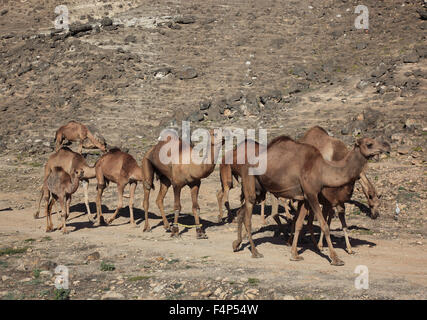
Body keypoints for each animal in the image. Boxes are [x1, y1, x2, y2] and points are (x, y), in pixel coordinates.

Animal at [234, 135, 392, 264]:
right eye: (369, 144)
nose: (387, 146)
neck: (322, 170)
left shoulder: (304, 198)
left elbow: (298, 224)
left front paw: (295, 254)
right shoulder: (312, 194)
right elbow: (324, 225)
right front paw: (335, 258)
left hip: (260, 189)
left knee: (241, 211)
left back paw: (236, 244)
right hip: (250, 180)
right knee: (248, 217)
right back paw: (255, 252)